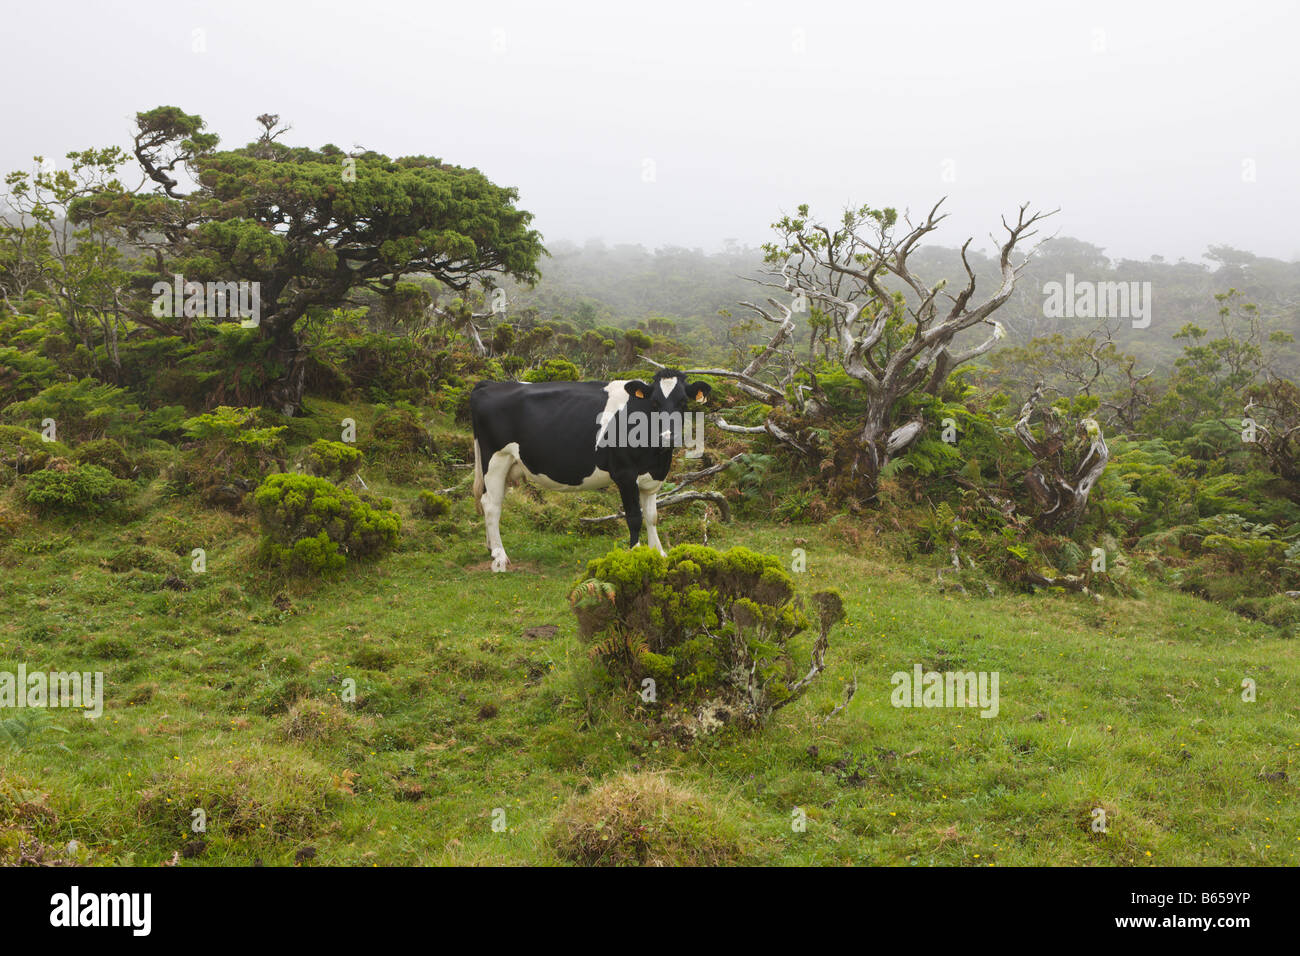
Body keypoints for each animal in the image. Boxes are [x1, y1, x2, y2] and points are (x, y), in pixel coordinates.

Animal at [467, 369, 712, 572]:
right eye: (654, 403)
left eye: (683, 402)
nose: (668, 437)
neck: (656, 457)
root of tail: (490, 384)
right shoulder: (625, 474)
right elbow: (634, 516)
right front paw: (636, 553)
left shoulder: (652, 478)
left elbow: (652, 517)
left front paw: (659, 553)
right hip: (496, 459)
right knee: (491, 505)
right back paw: (499, 557)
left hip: (506, 464)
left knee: (491, 501)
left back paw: (491, 548)